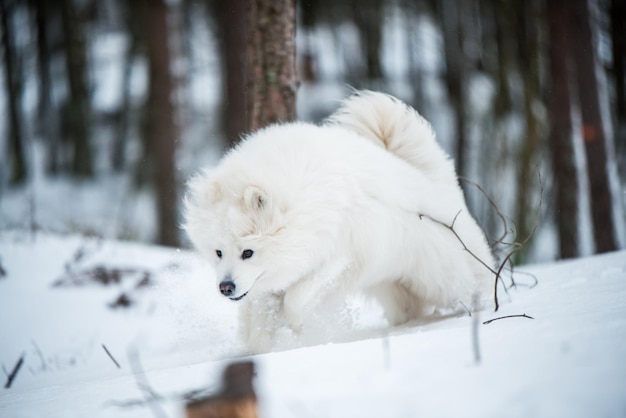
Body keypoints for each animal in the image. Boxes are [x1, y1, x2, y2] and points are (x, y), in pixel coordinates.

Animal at [183, 91, 494, 352]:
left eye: (248, 252)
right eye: (218, 252)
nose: (225, 287)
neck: (300, 203)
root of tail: (432, 178)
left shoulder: (337, 256)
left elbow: (296, 300)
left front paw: (297, 329)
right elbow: (260, 314)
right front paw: (259, 348)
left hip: (444, 276)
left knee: (476, 284)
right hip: (395, 286)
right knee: (410, 309)